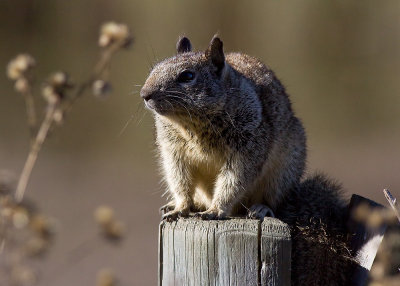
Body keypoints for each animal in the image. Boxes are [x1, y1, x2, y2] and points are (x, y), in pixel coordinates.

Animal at [140, 35, 354, 284]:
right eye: (154, 68)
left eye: (187, 76)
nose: (145, 94)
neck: (192, 125)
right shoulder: (173, 153)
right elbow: (179, 180)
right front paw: (181, 207)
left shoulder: (248, 149)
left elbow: (234, 181)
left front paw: (216, 210)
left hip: (283, 172)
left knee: (273, 200)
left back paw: (260, 208)